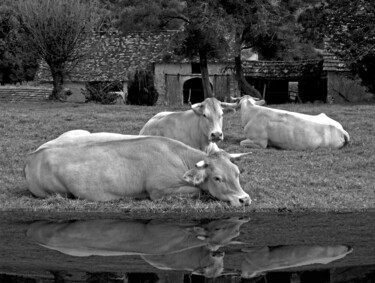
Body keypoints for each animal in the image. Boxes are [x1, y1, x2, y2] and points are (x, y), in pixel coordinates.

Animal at [24, 130, 253, 206]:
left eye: (237, 174)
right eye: (217, 178)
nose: (245, 199)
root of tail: (32, 156)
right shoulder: (160, 191)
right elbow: (197, 192)